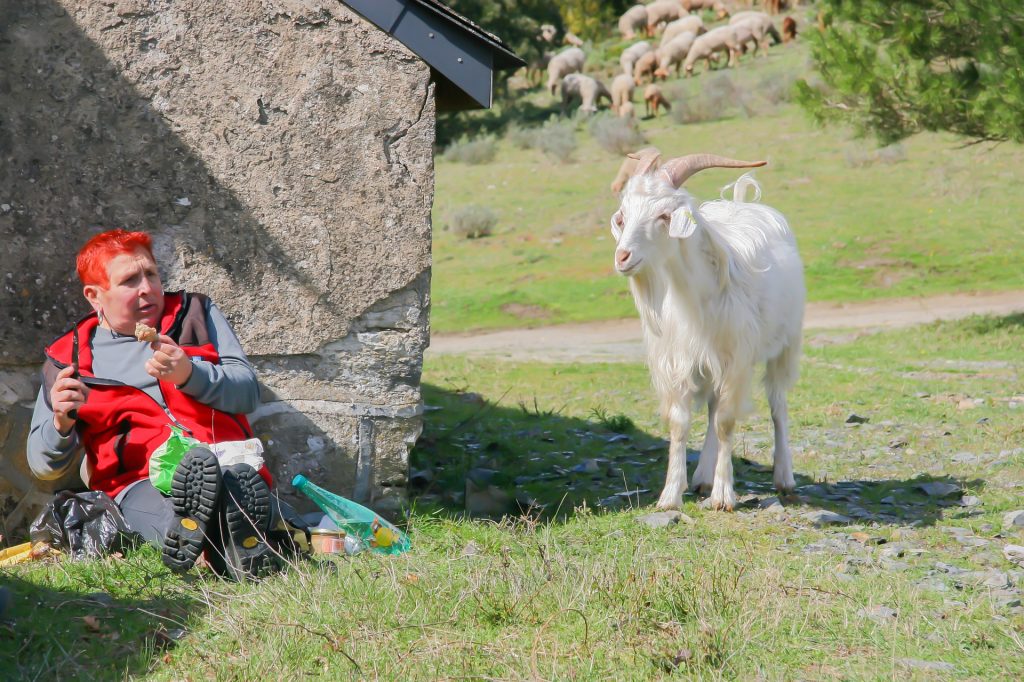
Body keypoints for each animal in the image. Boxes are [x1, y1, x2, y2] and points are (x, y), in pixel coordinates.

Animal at [606, 150, 806, 509]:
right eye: (623, 216)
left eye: (664, 215)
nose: (623, 257)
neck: (693, 297)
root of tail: (743, 201)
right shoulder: (677, 360)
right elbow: (680, 422)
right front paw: (670, 494)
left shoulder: (736, 359)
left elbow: (726, 422)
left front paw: (724, 495)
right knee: (713, 407)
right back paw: (702, 477)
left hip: (785, 344)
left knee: (777, 404)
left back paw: (783, 477)